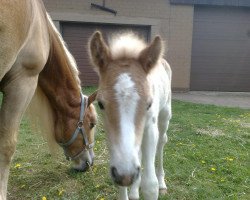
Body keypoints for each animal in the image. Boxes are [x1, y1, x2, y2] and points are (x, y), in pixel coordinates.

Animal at [88, 31, 172, 200]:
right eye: (100, 104)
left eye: (149, 104)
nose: (126, 176)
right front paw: (131, 187)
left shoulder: (150, 128)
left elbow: (150, 185)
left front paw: (152, 185)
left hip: (165, 116)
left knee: (161, 142)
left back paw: (162, 183)